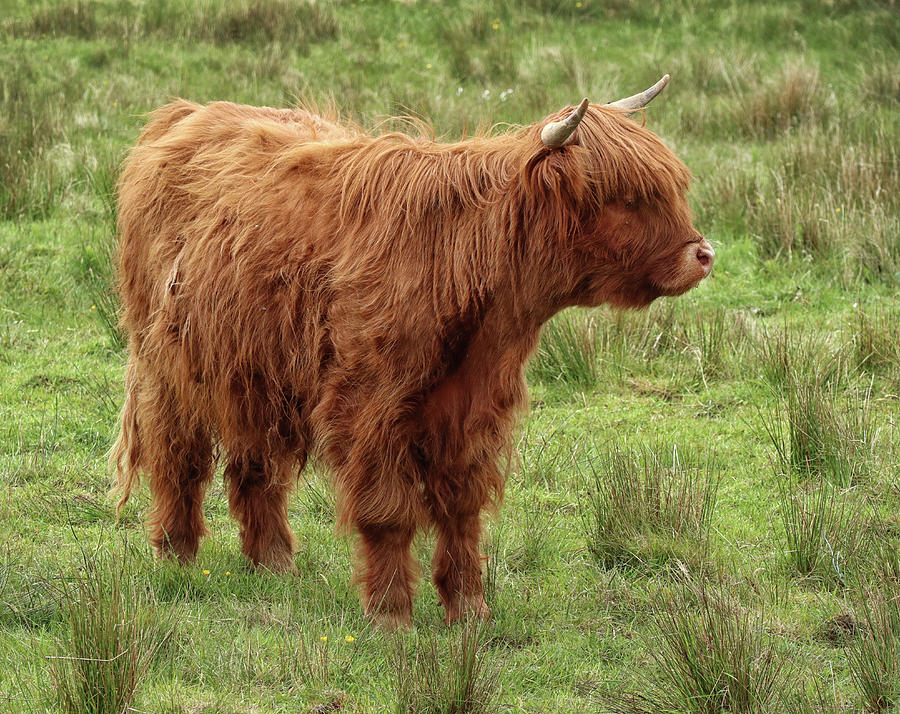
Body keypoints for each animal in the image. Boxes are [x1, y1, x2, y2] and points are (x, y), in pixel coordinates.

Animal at [112, 73, 712, 624]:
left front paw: (468, 608)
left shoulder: (474, 406)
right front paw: (390, 613)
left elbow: (463, 509)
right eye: (625, 198)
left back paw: (275, 564)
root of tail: (189, 112)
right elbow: (388, 511)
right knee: (178, 453)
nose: (702, 255)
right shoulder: (368, 404)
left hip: (254, 370)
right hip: (168, 362)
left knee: (255, 464)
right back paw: (177, 554)